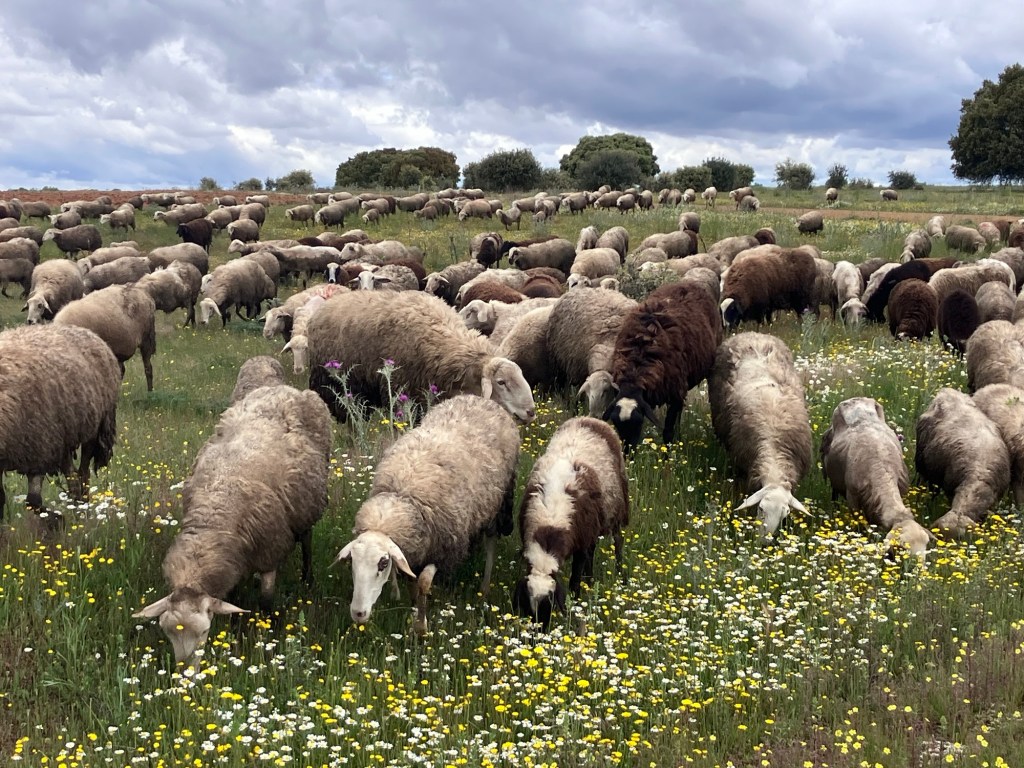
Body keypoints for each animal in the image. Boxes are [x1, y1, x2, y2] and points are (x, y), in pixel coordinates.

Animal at [0, 324, 120, 519]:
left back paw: (82, 507)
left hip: (93, 429)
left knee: (83, 473)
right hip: (63, 438)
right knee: (73, 477)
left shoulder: (40, 448)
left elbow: (33, 501)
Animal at [133, 382, 332, 663]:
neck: (215, 515)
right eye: (167, 632)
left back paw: (307, 576)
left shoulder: (270, 550)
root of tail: (283, 387)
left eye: (204, 631)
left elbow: (266, 601)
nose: (185, 671)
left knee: (307, 538)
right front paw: (235, 628)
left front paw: (269, 633)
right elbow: (234, 598)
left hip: (307, 505)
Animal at [335, 395, 518, 634]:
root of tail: (478, 397)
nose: (358, 613)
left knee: (491, 543)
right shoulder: (415, 550)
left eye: (383, 564)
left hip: (500, 504)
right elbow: (413, 582)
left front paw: (421, 626)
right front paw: (413, 609)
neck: (403, 495)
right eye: (353, 564)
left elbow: (423, 583)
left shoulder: (446, 549)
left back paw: (485, 586)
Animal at [513, 416, 629, 626]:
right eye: (527, 607)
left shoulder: (581, 543)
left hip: (618, 506)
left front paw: (576, 599)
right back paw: (590, 580)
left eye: (549, 607)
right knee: (593, 550)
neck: (550, 519)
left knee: (618, 541)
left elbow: (575, 576)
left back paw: (619, 573)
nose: (540, 632)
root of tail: (590, 419)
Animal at [605, 281, 722, 449]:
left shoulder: (675, 393)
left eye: (638, 422)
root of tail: (689, 283)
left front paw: (670, 453)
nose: (627, 452)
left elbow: (668, 431)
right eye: (615, 423)